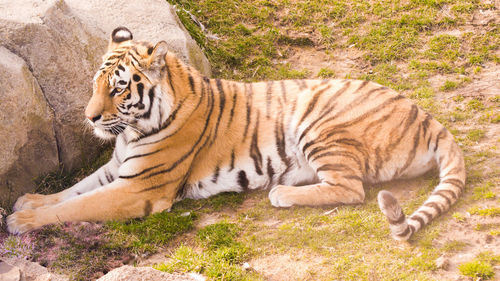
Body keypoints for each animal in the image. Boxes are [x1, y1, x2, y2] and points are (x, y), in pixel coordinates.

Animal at [6, 27, 464, 240]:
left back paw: (282, 193)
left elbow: (80, 205)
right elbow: (73, 191)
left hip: (320, 123)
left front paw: (21, 219)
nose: (90, 118)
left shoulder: (139, 188)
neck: (131, 132)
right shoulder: (118, 168)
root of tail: (425, 114)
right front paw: (30, 200)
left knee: (351, 189)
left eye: (118, 88)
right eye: (95, 83)